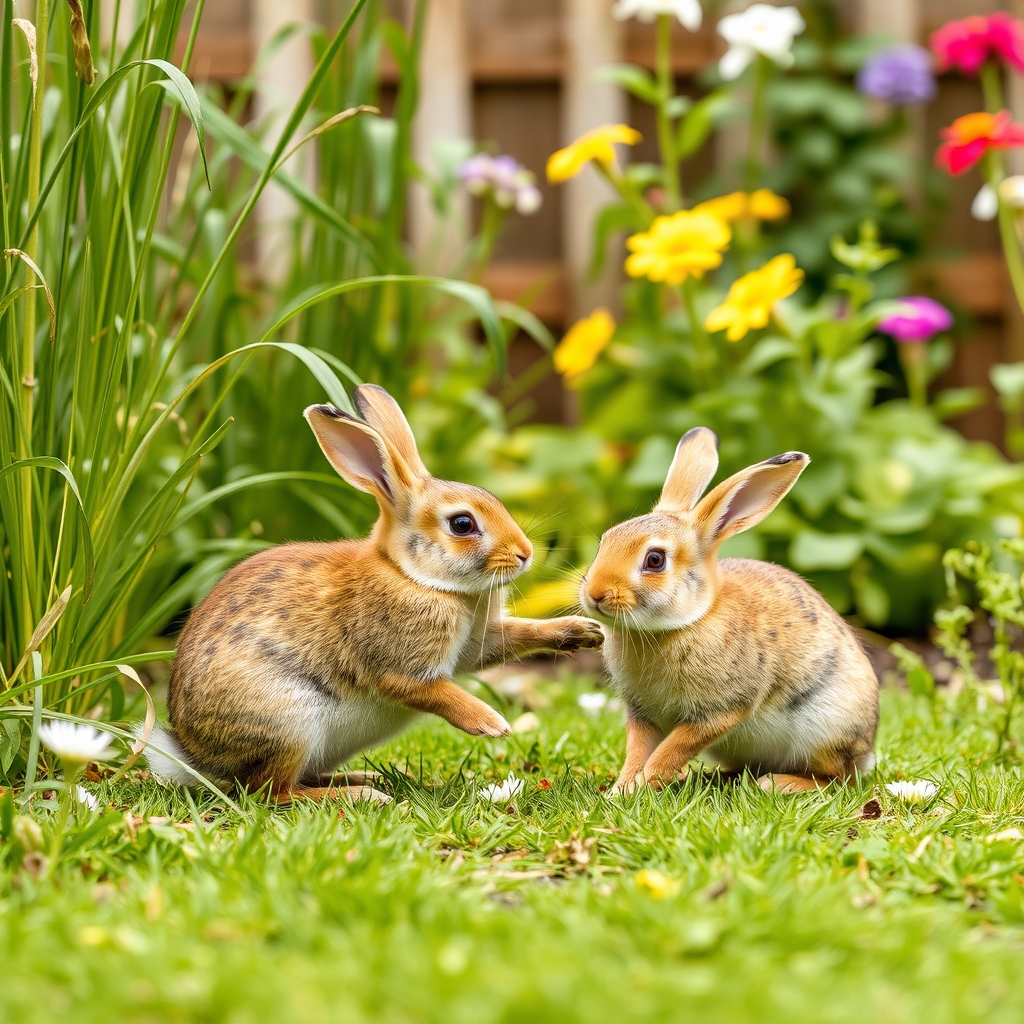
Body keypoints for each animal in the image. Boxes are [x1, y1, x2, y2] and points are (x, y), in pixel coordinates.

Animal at [149, 384, 603, 802]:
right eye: (462, 524)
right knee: (271, 791)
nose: (525, 554)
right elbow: (432, 691)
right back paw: (360, 795)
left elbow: (515, 636)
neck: (412, 576)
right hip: (287, 724)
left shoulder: (476, 644)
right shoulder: (400, 666)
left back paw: (362, 780)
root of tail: (195, 756)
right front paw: (491, 723)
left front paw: (582, 632)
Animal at [580, 427, 878, 795]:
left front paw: (645, 784)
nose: (595, 593)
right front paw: (623, 790)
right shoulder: (642, 715)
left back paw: (778, 784)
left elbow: (670, 751)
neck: (683, 623)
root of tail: (866, 754)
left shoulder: (721, 711)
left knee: (838, 779)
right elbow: (638, 750)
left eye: (655, 560)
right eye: (604, 541)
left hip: (825, 734)